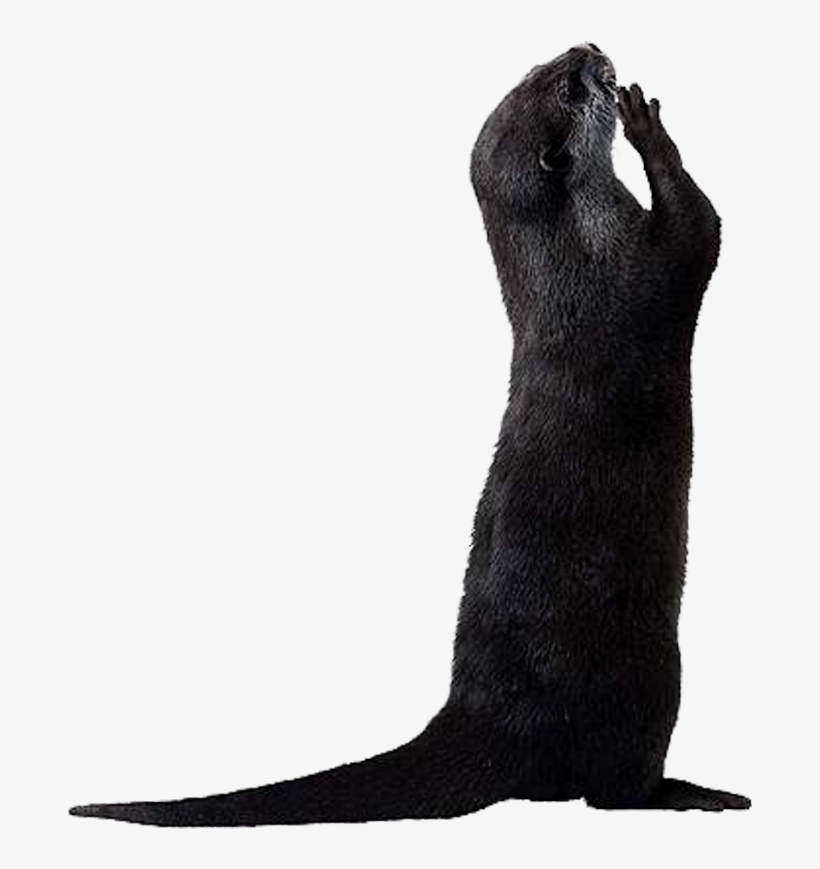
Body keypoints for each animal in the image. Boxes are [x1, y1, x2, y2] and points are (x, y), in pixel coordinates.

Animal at [70, 44, 750, 825]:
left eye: (538, 68)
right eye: (567, 87)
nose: (588, 49)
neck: (577, 255)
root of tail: (482, 719)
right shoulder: (647, 267)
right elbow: (702, 226)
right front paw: (646, 125)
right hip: (650, 678)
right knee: (610, 792)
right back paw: (695, 793)